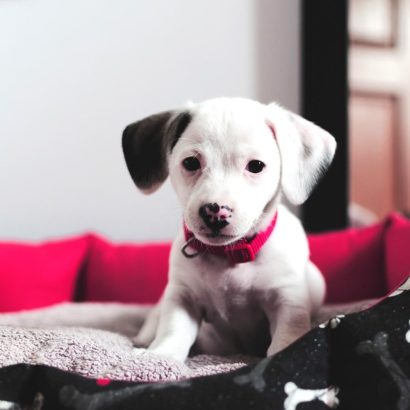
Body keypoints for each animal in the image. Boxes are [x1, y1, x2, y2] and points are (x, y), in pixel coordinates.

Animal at [121, 97, 336, 362]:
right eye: (191, 162)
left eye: (256, 166)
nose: (215, 212)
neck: (229, 256)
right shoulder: (182, 298)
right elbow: (173, 329)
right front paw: (162, 355)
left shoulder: (287, 301)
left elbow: (286, 337)